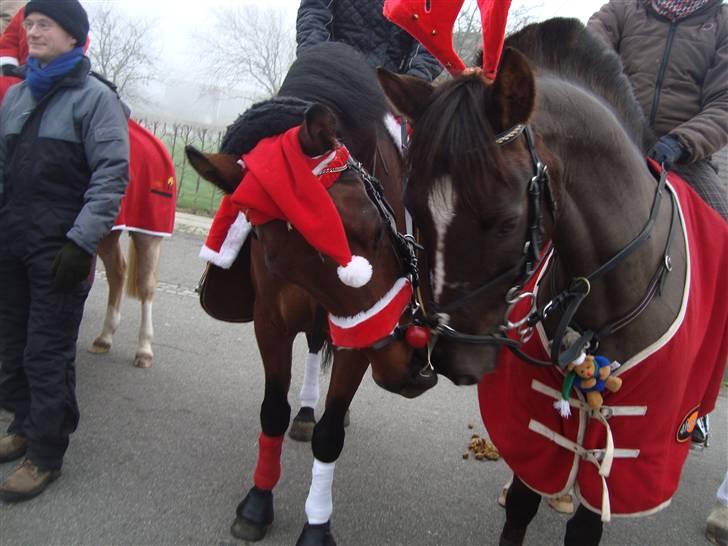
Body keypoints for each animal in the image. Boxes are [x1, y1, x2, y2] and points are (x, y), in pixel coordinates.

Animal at [189, 42, 438, 544]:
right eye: (272, 254)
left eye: (372, 229)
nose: (403, 366)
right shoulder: (272, 322)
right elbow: (272, 410)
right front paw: (257, 501)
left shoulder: (361, 337)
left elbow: (330, 435)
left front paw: (316, 524)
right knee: (313, 344)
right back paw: (306, 411)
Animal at [378, 17, 724, 544]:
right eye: (414, 206)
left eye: (504, 221)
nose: (449, 358)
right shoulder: (536, 423)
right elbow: (524, 499)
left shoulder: (628, 447)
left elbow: (587, 521)